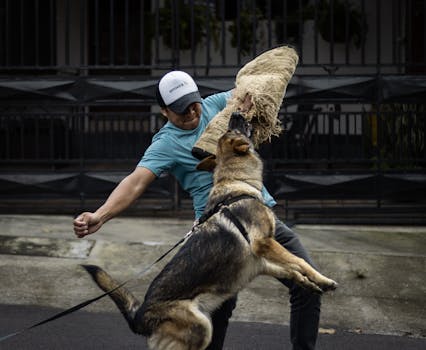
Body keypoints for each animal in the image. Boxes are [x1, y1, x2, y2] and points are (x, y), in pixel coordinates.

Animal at [82, 113, 336, 350]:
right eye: (233, 129)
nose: (236, 113)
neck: (235, 181)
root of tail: (140, 317)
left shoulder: (260, 262)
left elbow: (292, 268)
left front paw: (312, 283)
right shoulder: (263, 243)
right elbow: (299, 261)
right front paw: (324, 279)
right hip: (202, 327)